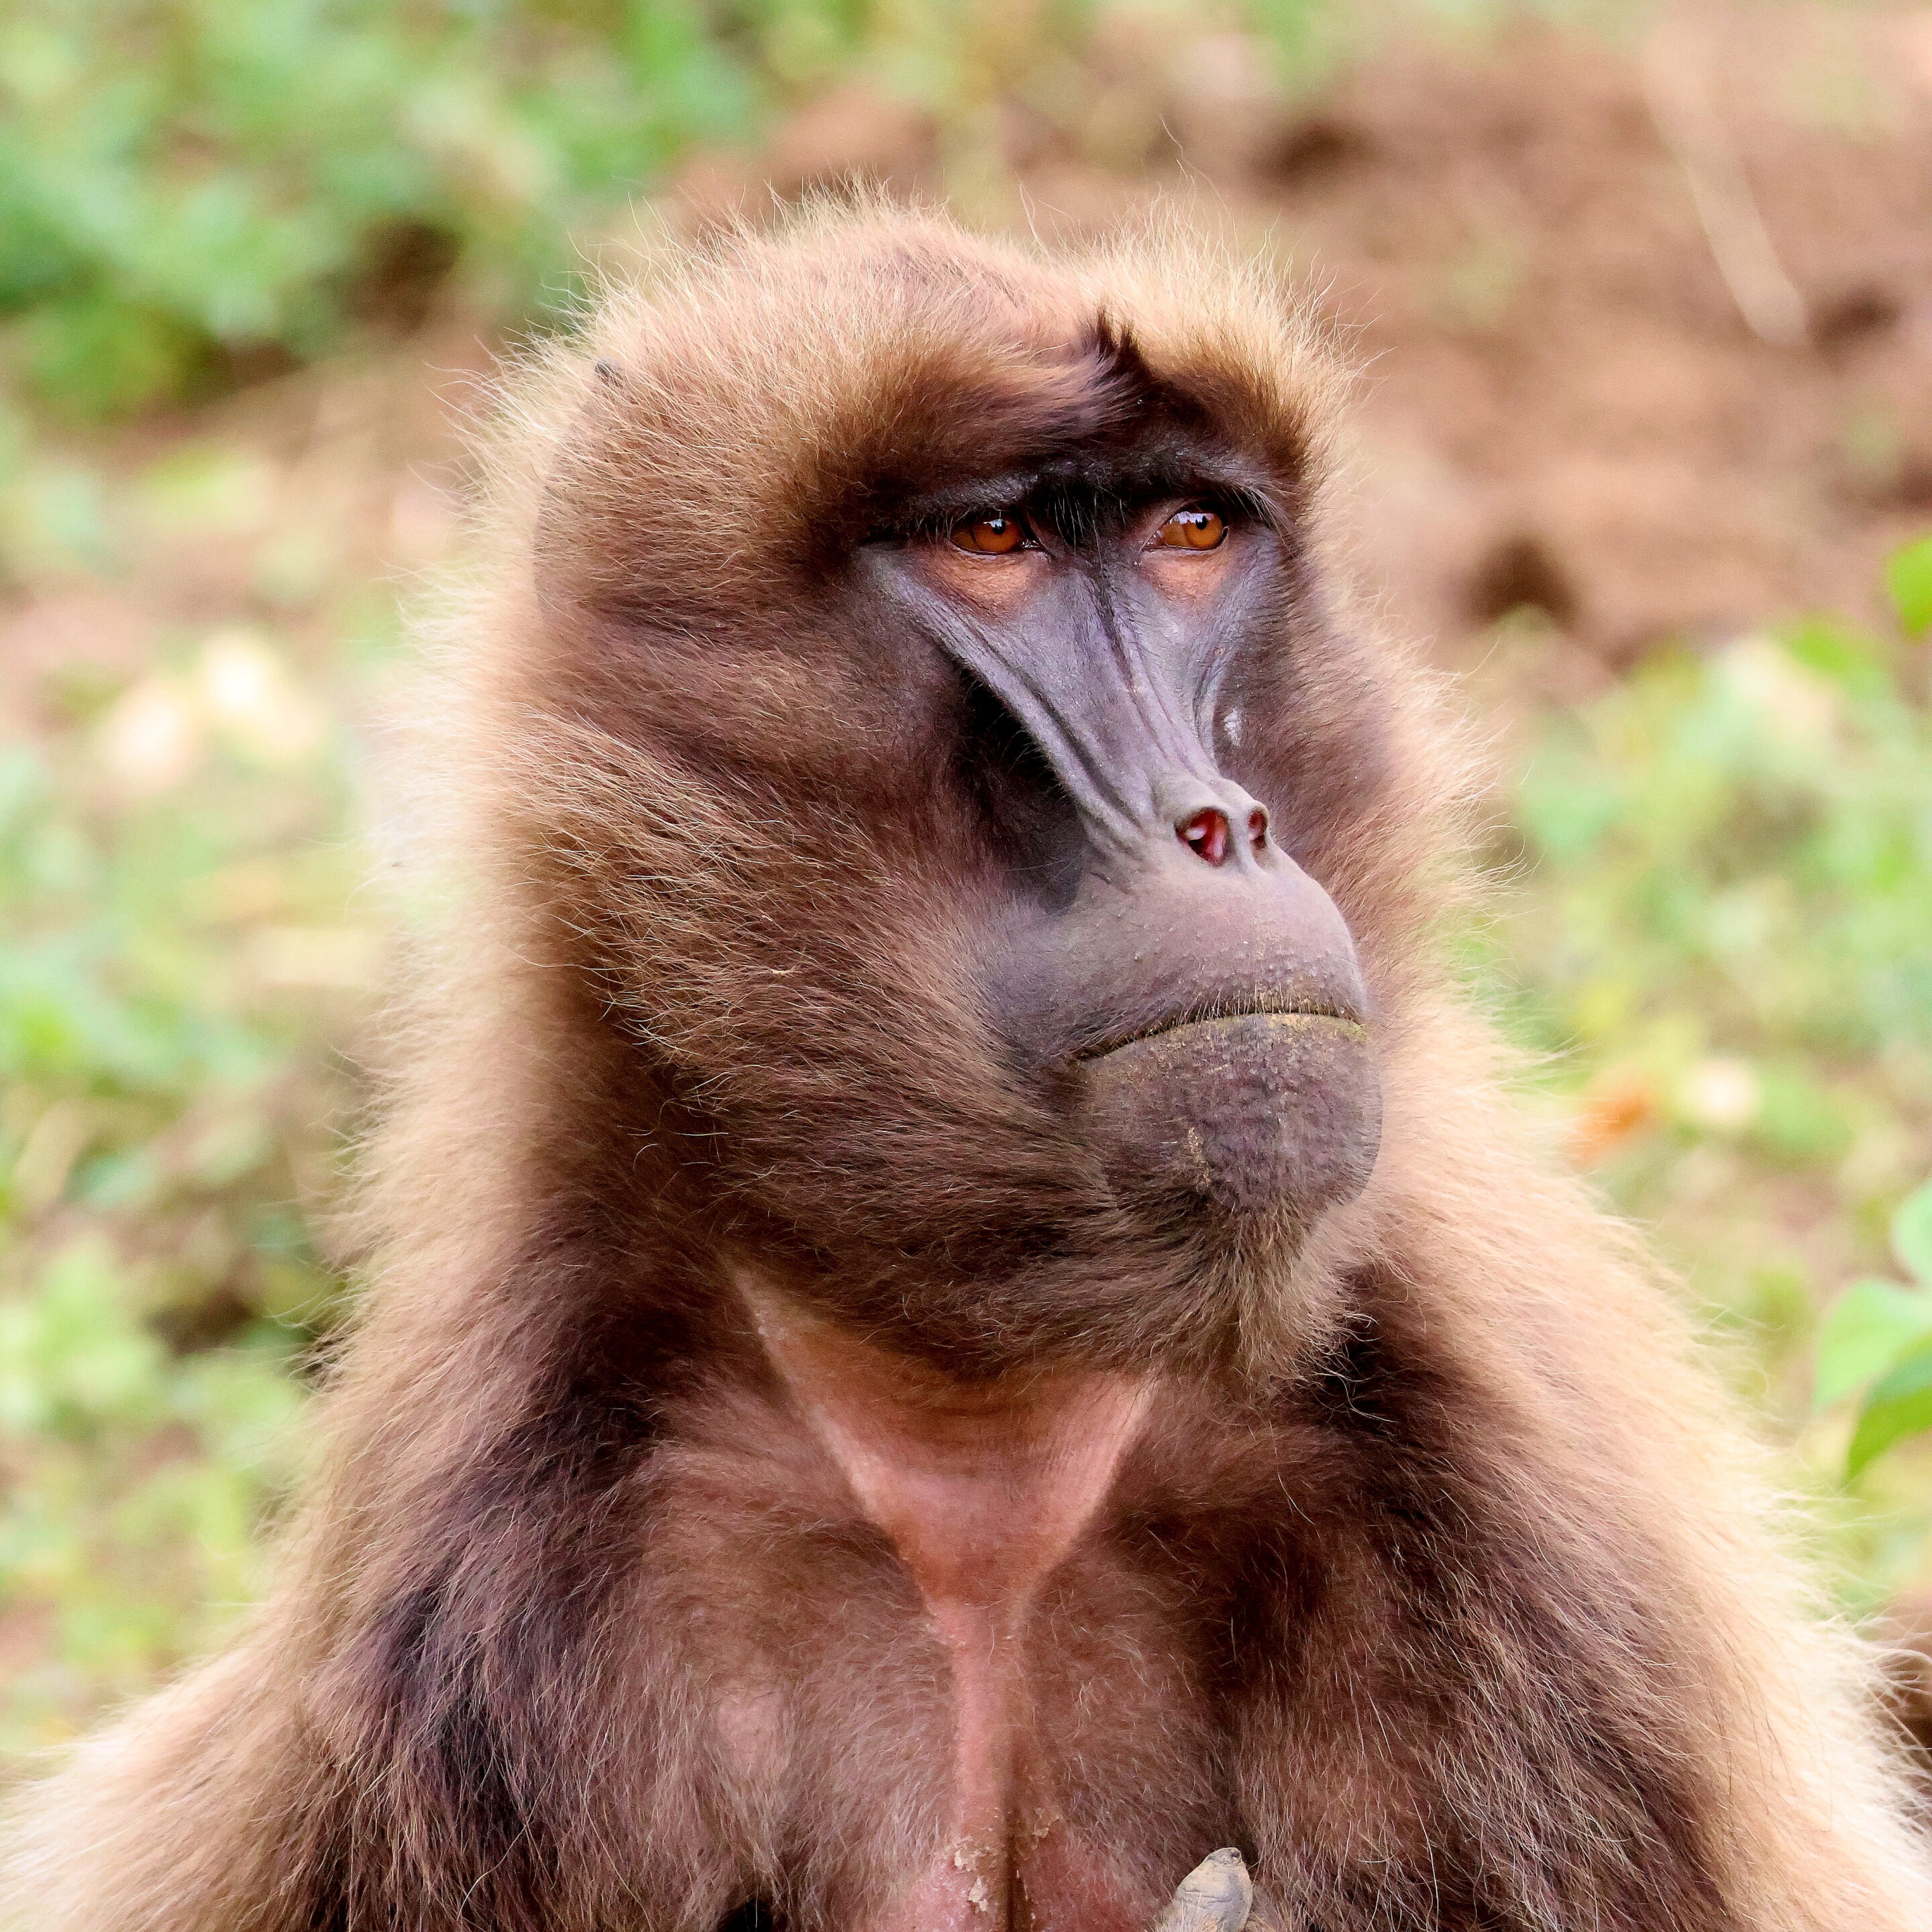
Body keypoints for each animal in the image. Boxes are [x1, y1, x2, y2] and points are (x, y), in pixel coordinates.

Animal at [5, 203, 1929, 1932]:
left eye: (1187, 530)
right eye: (995, 539)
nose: (1222, 825)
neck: (985, 1446)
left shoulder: (1562, 1582)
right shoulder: (487, 1609)